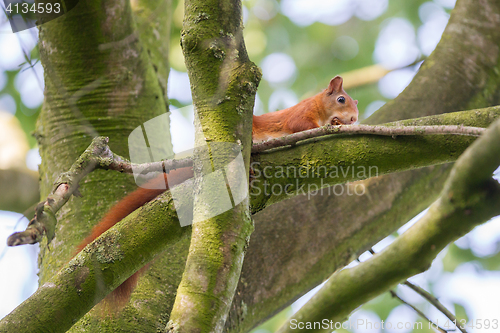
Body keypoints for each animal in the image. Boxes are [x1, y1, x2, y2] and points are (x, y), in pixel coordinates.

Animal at [76, 75, 358, 308]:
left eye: (355, 105)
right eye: (341, 99)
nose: (354, 119)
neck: (319, 106)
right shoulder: (300, 114)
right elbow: (301, 126)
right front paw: (332, 122)